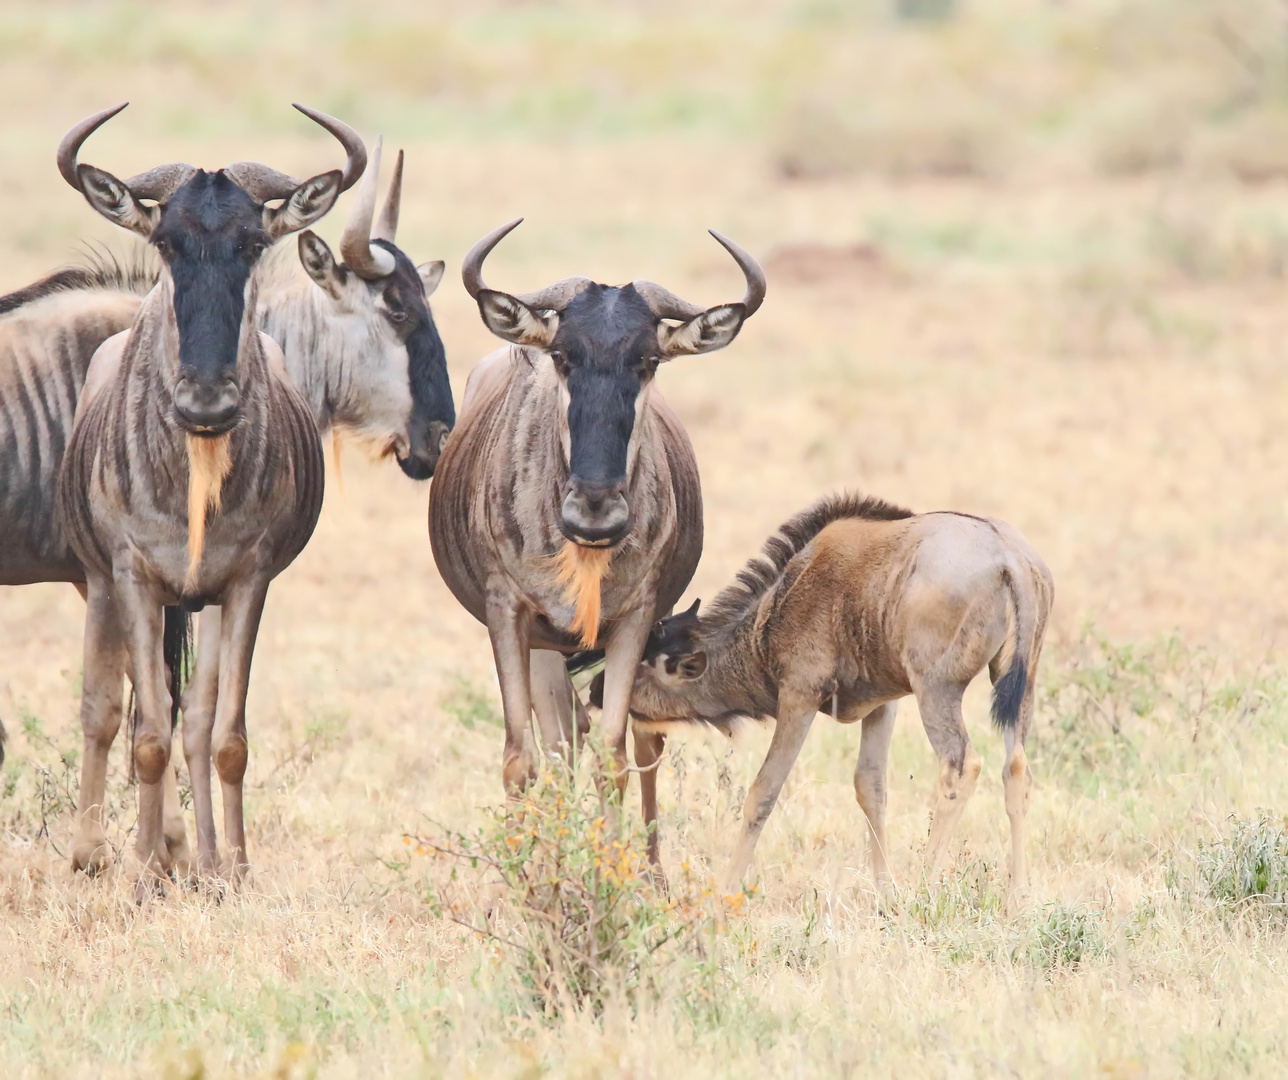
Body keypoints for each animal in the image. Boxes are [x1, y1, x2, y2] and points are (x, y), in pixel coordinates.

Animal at [607, 494, 1051, 901]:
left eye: (644, 666)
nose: (604, 694)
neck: (775, 609)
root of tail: (1011, 557)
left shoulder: (799, 696)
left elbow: (763, 792)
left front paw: (725, 894)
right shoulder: (884, 702)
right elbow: (870, 787)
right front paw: (884, 893)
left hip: (935, 690)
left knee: (961, 766)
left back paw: (924, 887)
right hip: (1018, 686)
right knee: (1016, 769)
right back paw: (1018, 895)